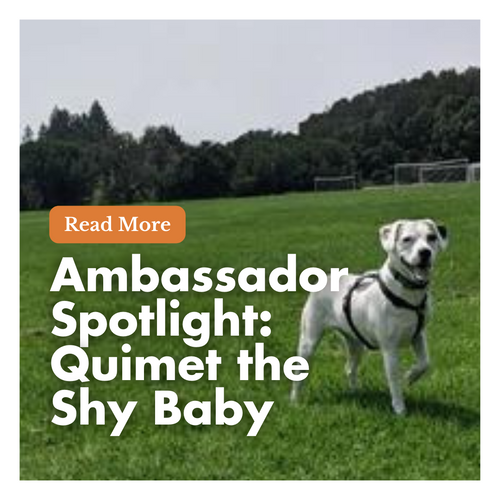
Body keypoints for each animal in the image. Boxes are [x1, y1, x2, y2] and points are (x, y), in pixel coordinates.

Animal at [290, 219, 450, 414]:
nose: (425, 252)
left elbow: (425, 362)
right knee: (299, 373)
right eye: (407, 239)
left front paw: (411, 376)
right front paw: (400, 409)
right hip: (309, 340)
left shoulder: (418, 335)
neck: (408, 295)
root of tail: (326, 278)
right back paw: (295, 400)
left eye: (431, 237)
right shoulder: (389, 348)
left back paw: (356, 392)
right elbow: (394, 380)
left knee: (349, 368)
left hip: (356, 344)